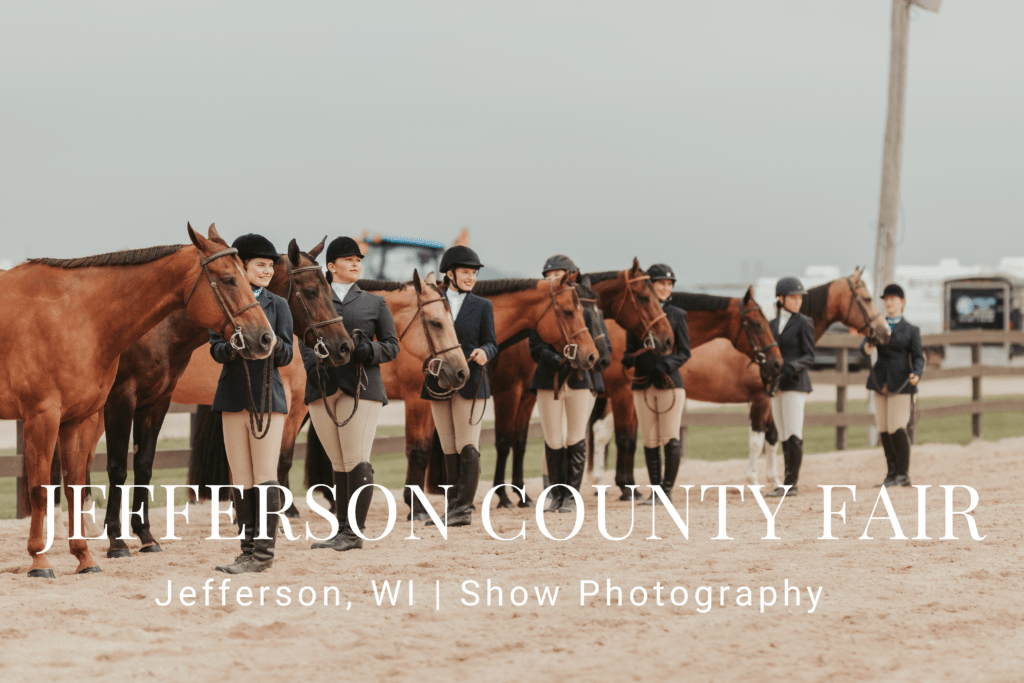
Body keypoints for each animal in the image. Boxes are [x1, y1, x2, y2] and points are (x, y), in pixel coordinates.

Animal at [0, 224, 274, 577]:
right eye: (228, 279)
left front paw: (85, 557)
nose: (265, 338)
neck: (75, 315)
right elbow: (43, 487)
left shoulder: (84, 418)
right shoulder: (49, 415)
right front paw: (41, 560)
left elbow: (84, 480)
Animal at [99, 237, 354, 557]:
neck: (156, 328)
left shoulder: (157, 402)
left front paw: (146, 535)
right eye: (310, 291)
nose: (344, 346)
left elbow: (144, 464)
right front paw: (116, 540)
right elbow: (118, 468)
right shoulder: (120, 402)